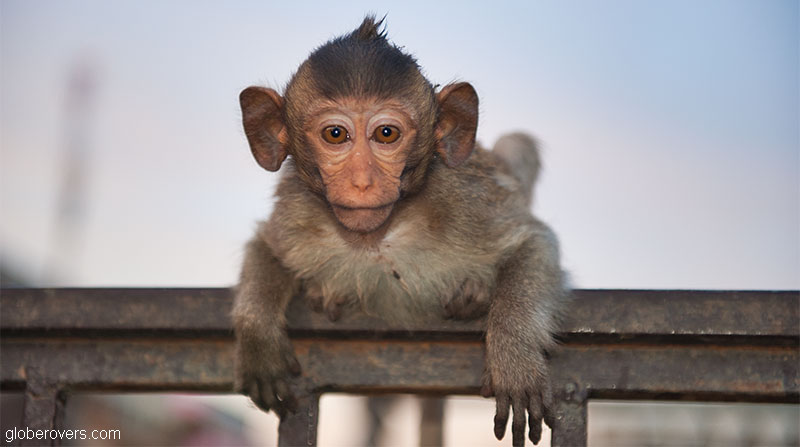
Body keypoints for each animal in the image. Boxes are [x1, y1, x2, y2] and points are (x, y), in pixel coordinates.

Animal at [233, 16, 568, 447]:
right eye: (335, 135)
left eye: (386, 134)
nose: (362, 181)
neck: (379, 237)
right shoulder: (297, 215)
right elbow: (266, 247)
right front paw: (257, 335)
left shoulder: (466, 201)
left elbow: (534, 242)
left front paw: (514, 358)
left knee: (517, 144)